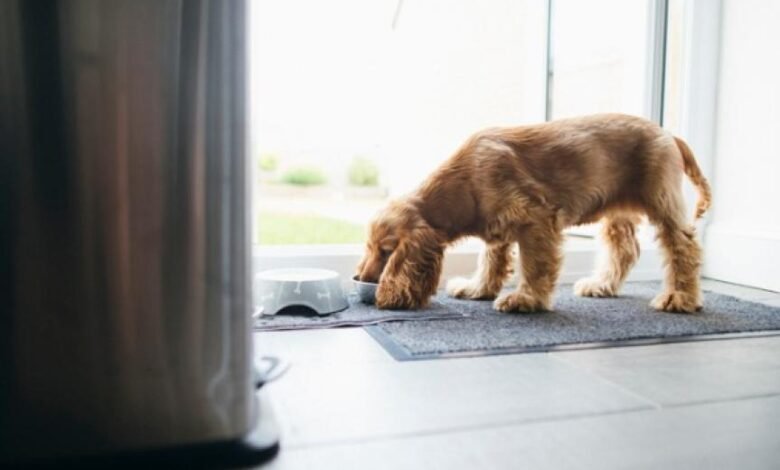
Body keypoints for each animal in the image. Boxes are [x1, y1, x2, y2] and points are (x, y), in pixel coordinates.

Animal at [356, 113, 708, 312]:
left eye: (386, 251)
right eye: (368, 248)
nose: (359, 278)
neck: (465, 180)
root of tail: (669, 134)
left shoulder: (537, 219)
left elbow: (535, 266)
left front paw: (526, 300)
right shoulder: (497, 227)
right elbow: (491, 260)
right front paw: (478, 289)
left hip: (662, 201)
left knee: (684, 248)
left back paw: (680, 298)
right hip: (617, 212)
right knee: (625, 249)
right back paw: (601, 285)